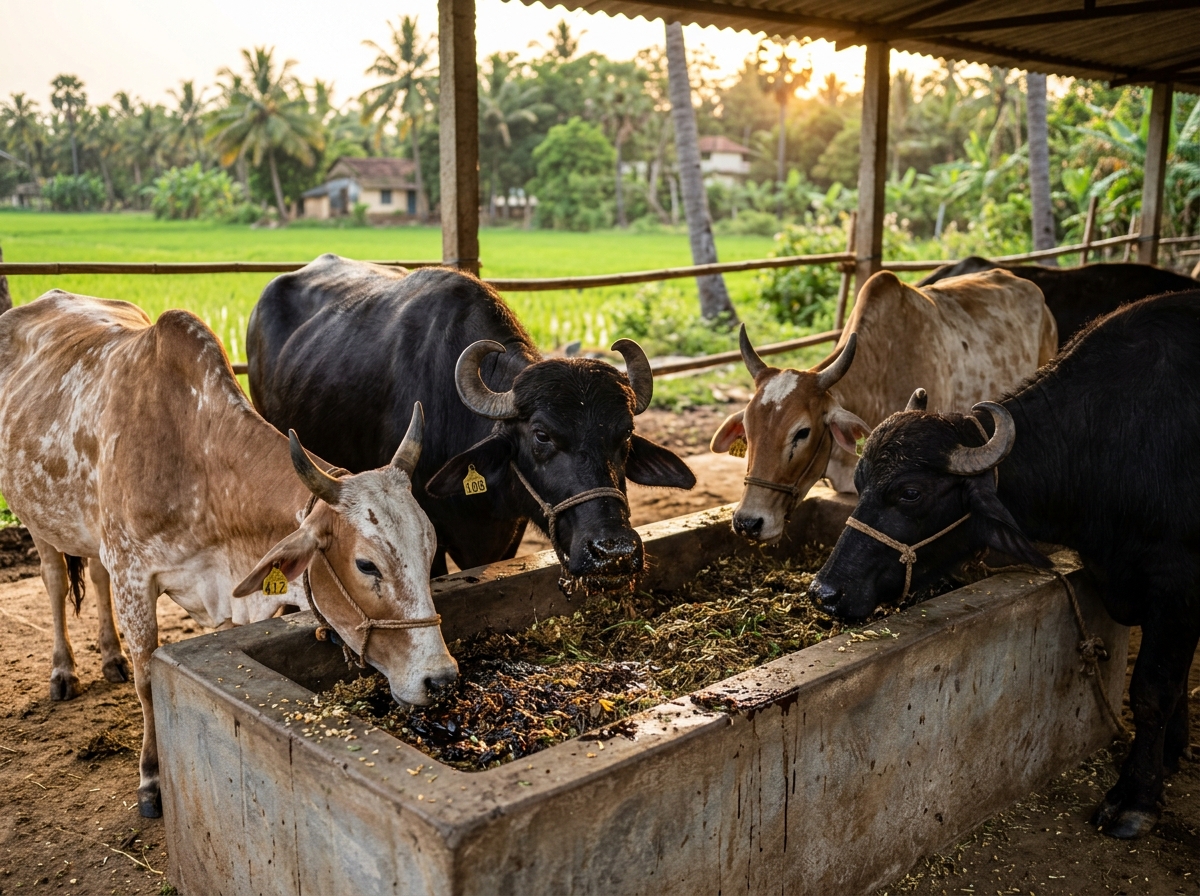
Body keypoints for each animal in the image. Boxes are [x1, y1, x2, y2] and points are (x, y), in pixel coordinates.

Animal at [0, 291, 458, 817]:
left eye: (430, 549)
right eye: (366, 564)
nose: (440, 678)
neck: (194, 457)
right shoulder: (133, 576)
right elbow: (147, 681)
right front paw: (151, 779)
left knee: (93, 575)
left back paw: (110, 656)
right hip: (35, 516)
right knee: (55, 579)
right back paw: (63, 671)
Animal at [808, 291, 1200, 839]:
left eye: (910, 492)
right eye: (860, 481)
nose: (825, 592)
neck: (1108, 440)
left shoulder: (1176, 585)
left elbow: (1153, 689)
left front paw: (1135, 800)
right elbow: (1176, 681)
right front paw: (1170, 752)